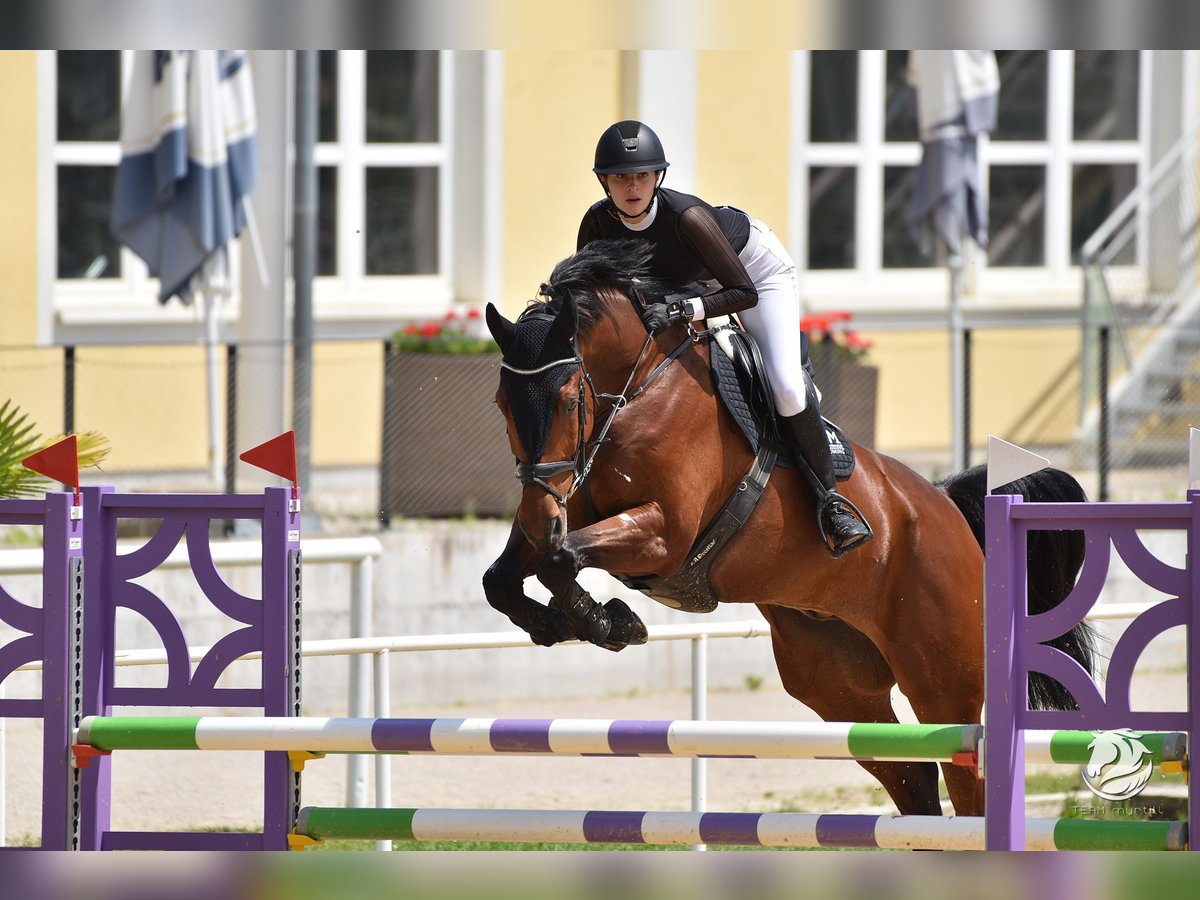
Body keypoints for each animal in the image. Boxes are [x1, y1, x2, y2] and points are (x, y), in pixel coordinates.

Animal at [481, 239, 1096, 818]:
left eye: (567, 401)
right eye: (502, 403)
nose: (538, 517)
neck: (637, 391)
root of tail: (947, 508)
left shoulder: (665, 533)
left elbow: (561, 558)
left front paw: (605, 620)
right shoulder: (567, 507)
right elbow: (506, 576)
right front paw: (556, 622)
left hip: (944, 682)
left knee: (967, 781)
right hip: (839, 688)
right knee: (913, 779)